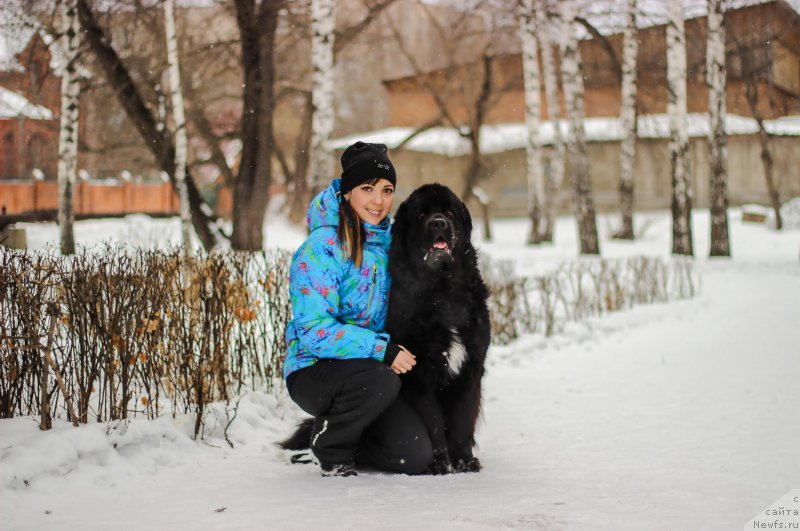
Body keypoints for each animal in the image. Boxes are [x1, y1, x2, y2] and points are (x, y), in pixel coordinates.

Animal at [386, 183, 490, 474]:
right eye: (422, 214)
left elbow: (462, 421)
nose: (439, 222)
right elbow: (431, 423)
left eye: (449, 212)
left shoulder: (471, 368)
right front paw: (439, 464)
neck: (442, 290)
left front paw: (464, 461)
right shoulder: (420, 373)